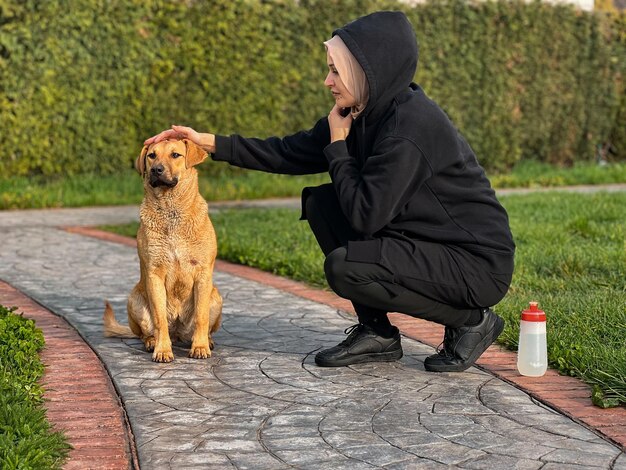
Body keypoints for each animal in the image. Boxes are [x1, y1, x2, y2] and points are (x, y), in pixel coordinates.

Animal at [106, 138, 223, 362]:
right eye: (152, 155)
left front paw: (200, 347)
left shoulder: (202, 272)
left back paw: (207, 341)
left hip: (216, 297)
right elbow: (159, 318)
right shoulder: (155, 273)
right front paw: (162, 350)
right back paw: (152, 342)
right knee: (146, 332)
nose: (156, 170)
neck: (171, 210)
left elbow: (201, 317)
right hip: (135, 299)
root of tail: (178, 333)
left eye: (175, 155)